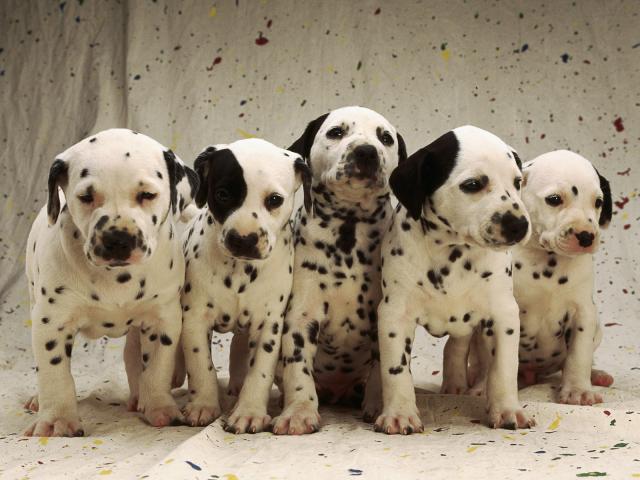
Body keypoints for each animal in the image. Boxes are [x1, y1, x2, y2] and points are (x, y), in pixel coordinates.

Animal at [23, 128, 198, 436]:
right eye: (86, 196)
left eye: (147, 194)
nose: (117, 238)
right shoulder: (51, 322)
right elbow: (54, 374)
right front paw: (57, 419)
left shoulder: (163, 318)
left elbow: (157, 368)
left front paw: (160, 407)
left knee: (133, 355)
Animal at [179, 137, 312, 434]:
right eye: (223, 194)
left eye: (274, 200)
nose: (243, 239)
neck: (240, 271)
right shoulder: (195, 319)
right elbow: (201, 365)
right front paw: (203, 404)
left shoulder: (269, 324)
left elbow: (259, 371)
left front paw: (249, 411)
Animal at [270, 105, 404, 436]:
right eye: (336, 132)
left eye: (385, 138)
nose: (366, 151)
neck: (349, 229)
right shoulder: (300, 319)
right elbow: (298, 371)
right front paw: (299, 412)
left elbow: (382, 369)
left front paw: (380, 405)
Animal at [376, 124, 536, 436]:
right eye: (473, 185)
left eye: (517, 181)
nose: (519, 225)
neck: (454, 253)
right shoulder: (394, 314)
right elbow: (395, 370)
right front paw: (400, 413)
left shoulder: (503, 314)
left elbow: (503, 369)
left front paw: (507, 410)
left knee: (457, 346)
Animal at [464, 150, 616, 404]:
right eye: (554, 199)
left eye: (598, 202)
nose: (586, 236)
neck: (546, 263)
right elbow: (489, 360)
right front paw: (485, 388)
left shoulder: (583, 313)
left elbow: (579, 356)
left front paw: (578, 390)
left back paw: (597, 375)